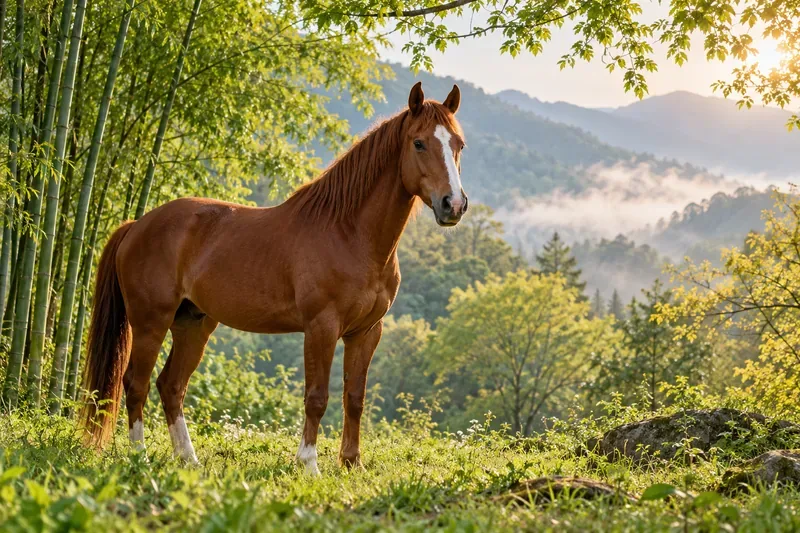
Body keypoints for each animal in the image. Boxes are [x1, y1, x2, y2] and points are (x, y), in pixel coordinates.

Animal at [79, 81, 468, 474]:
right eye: (419, 143)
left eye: (458, 144)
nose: (453, 205)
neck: (349, 234)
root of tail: (136, 225)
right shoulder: (321, 327)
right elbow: (317, 397)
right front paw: (309, 464)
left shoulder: (367, 332)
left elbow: (354, 397)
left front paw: (351, 463)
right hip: (150, 323)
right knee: (136, 384)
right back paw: (139, 457)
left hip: (193, 324)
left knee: (171, 385)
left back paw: (188, 458)